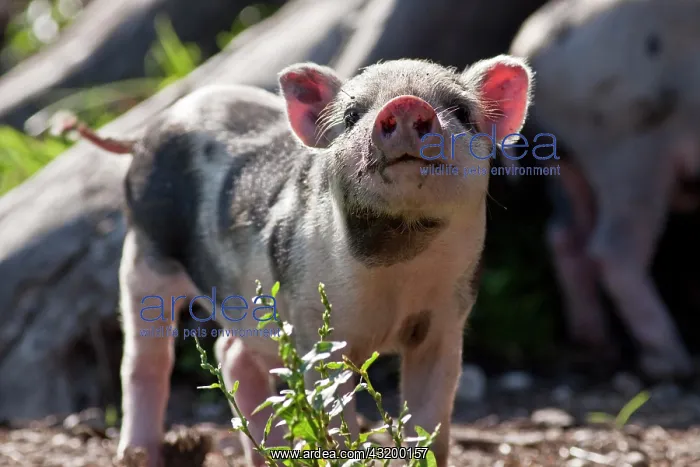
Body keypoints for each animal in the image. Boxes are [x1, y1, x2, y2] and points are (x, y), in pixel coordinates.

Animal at [61, 55, 533, 466]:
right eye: (352, 115)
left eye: (461, 111)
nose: (405, 103)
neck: (397, 269)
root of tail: (147, 131)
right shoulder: (315, 326)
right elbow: (336, 418)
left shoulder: (445, 324)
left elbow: (431, 422)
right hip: (143, 254)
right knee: (145, 358)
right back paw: (138, 455)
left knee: (229, 351)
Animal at [510, 0, 700, 379]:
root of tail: (533, 46)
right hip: (630, 151)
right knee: (613, 250)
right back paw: (672, 362)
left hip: (567, 165)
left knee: (566, 237)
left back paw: (598, 346)